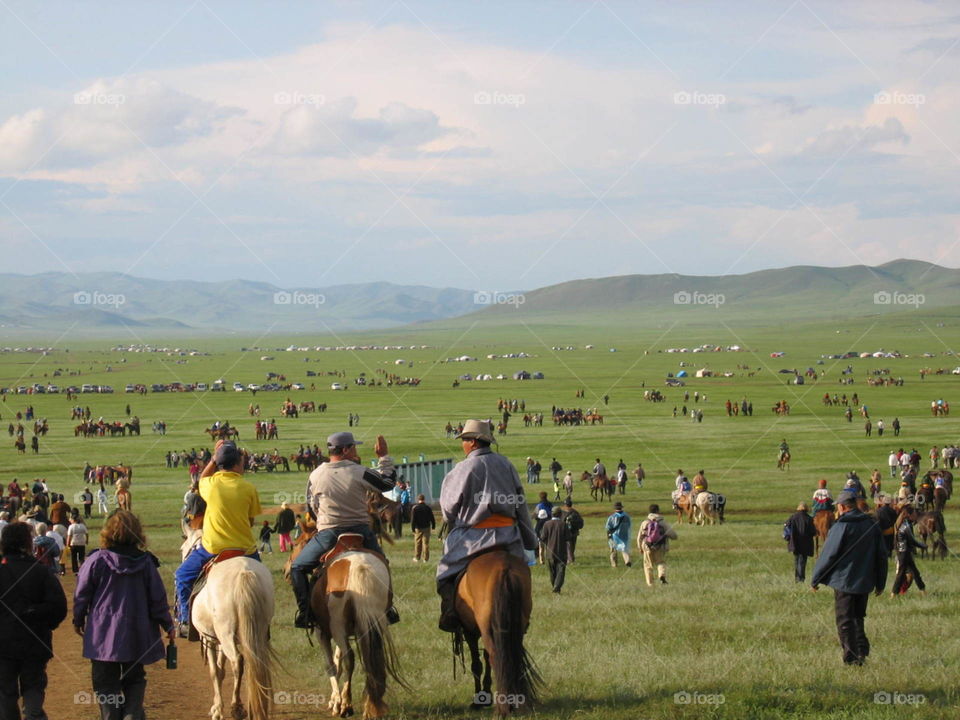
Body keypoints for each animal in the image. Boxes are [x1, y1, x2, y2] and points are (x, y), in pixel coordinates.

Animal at [452, 552, 540, 716]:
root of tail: (503, 568)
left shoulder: (470, 632)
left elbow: (477, 664)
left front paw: (479, 699)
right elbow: (485, 659)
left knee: (496, 658)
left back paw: (503, 708)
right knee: (510, 657)